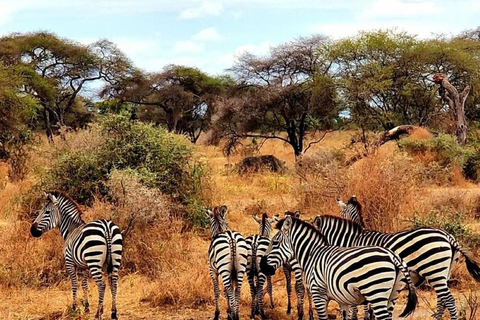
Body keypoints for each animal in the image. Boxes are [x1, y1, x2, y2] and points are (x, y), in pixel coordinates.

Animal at [258, 215, 416, 320]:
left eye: (275, 242)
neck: (312, 254)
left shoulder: (318, 294)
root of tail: (392, 256)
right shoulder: (342, 300)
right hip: (392, 295)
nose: (261, 266)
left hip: (376, 293)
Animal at [314, 212, 480, 320]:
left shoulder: (360, 276)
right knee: (442, 301)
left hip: (434, 271)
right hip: (444, 272)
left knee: (449, 300)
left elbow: (359, 306)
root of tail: (448, 237)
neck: (352, 241)